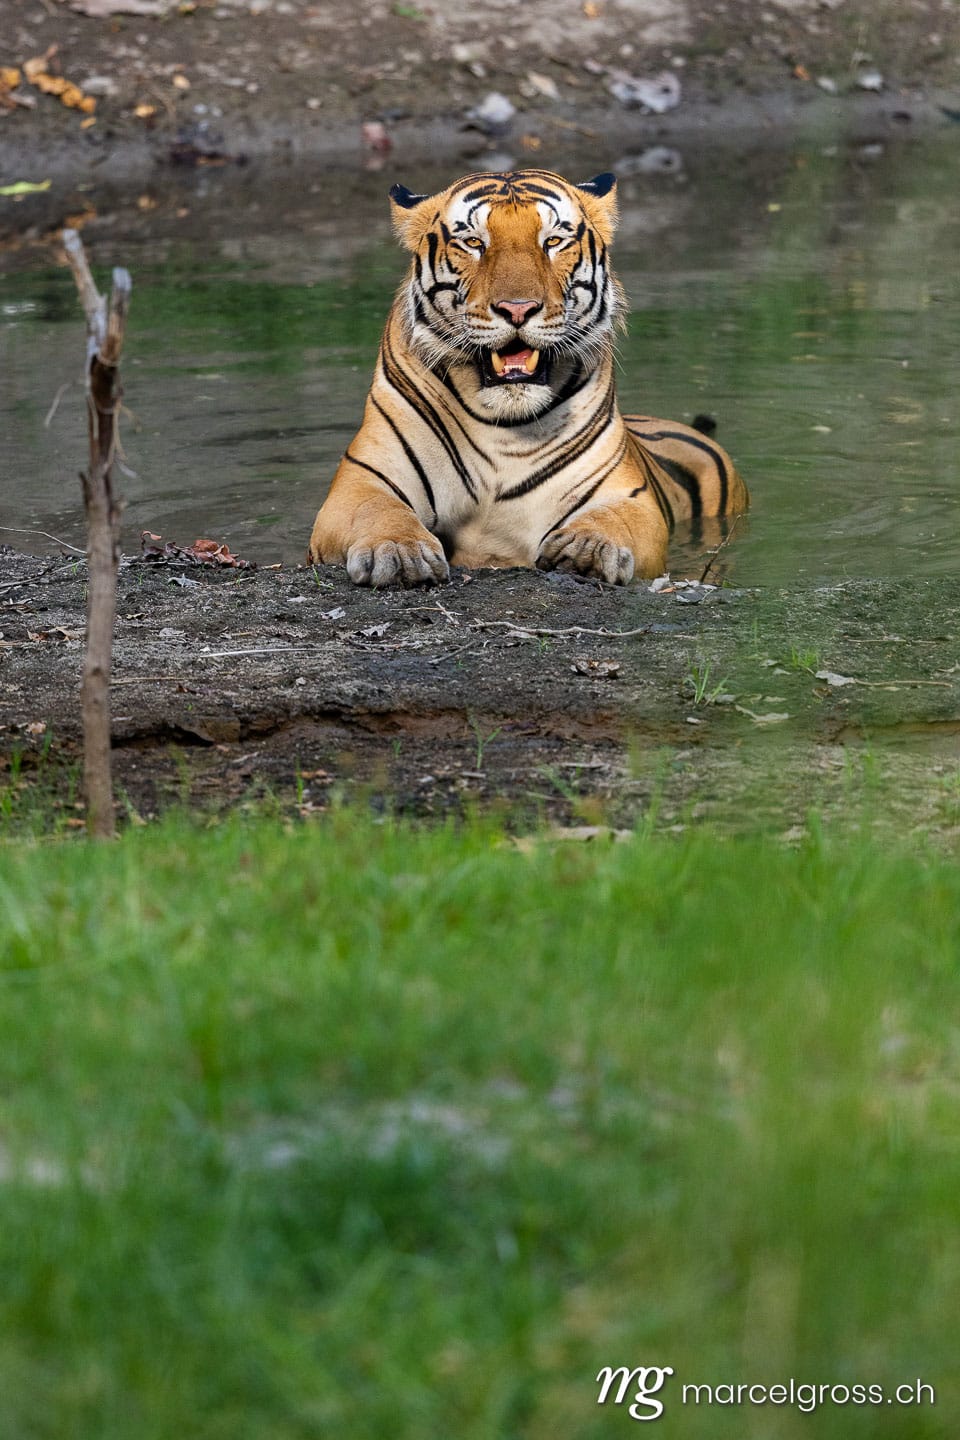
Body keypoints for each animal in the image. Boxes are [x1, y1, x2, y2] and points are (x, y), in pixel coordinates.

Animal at [307, 168, 748, 587]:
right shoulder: (363, 481)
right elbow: (377, 511)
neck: (502, 426)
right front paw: (398, 552)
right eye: (474, 243)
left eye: (552, 242)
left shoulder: (627, 495)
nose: (517, 309)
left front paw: (587, 547)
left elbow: (612, 520)